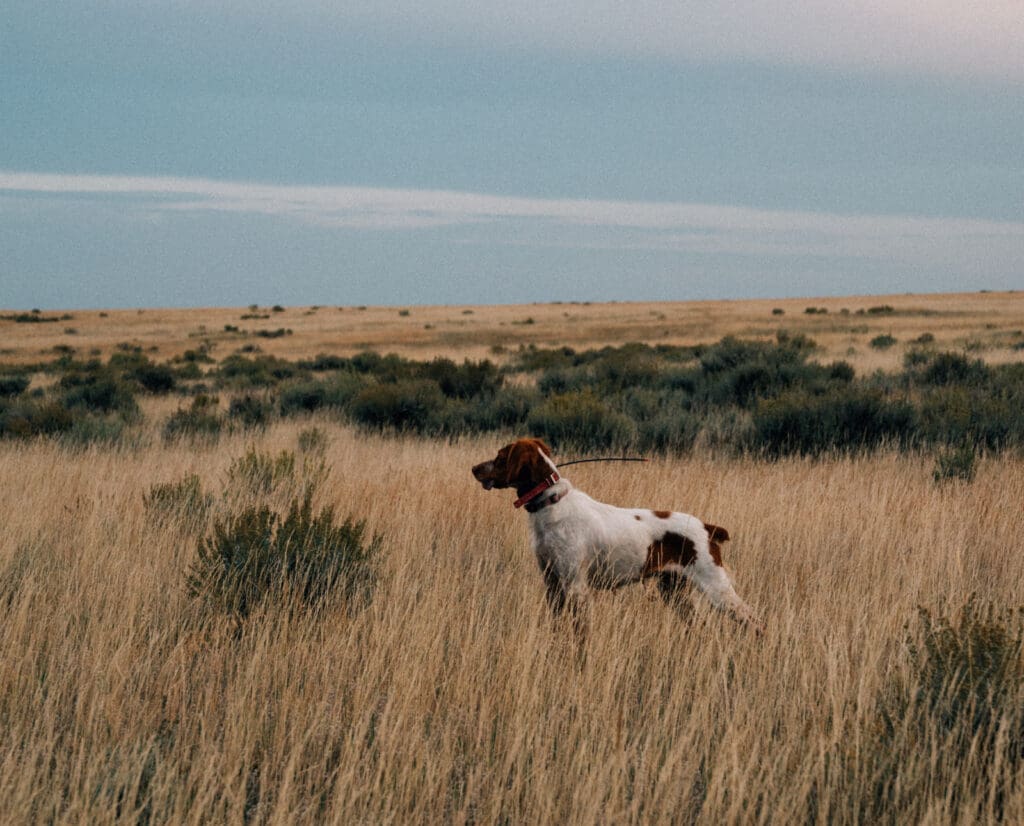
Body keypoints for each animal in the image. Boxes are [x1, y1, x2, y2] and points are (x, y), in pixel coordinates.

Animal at [473, 442, 761, 630]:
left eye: (500, 456)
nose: (474, 468)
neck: (550, 502)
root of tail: (707, 527)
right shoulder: (552, 582)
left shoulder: (576, 585)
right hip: (675, 591)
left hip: (717, 588)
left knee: (755, 621)